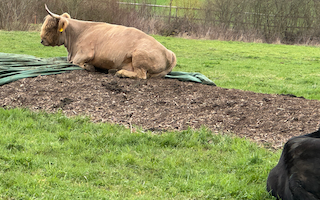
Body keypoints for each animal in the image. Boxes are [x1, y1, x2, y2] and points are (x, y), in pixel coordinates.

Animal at [40, 4, 176, 79]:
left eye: (50, 27)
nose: (42, 40)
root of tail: (170, 53)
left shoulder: (85, 53)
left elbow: (76, 63)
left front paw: (89, 66)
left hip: (139, 56)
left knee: (141, 75)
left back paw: (120, 73)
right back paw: (114, 70)